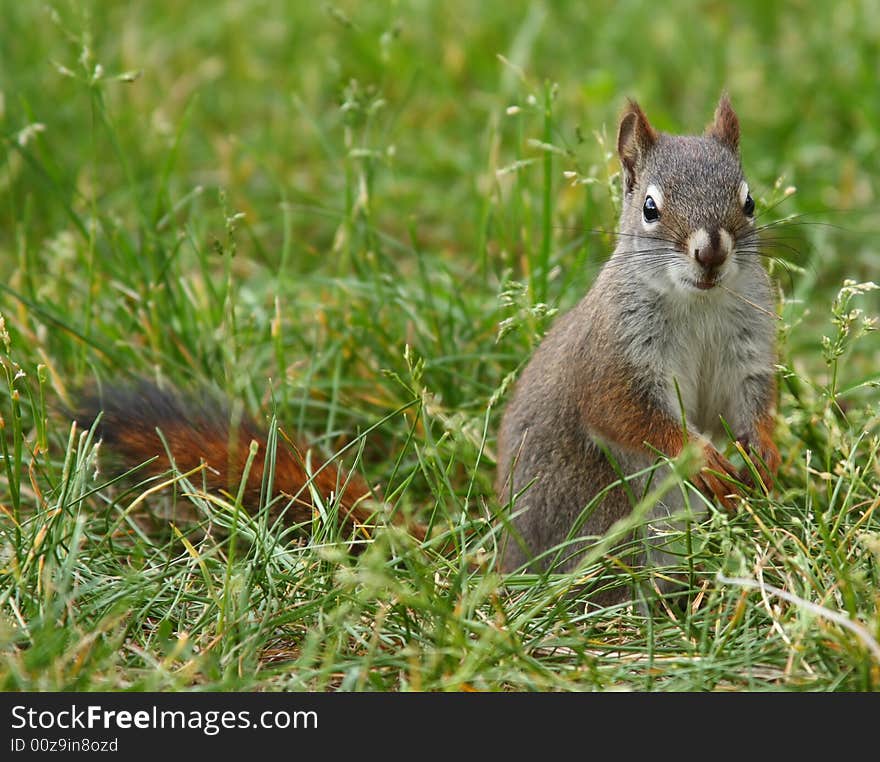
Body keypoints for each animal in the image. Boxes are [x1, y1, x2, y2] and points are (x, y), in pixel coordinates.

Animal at [498, 92, 780, 596]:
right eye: (650, 208)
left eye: (749, 202)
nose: (711, 253)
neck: (698, 304)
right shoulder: (616, 362)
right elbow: (630, 417)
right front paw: (701, 458)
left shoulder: (745, 352)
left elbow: (744, 404)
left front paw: (764, 451)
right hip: (603, 517)